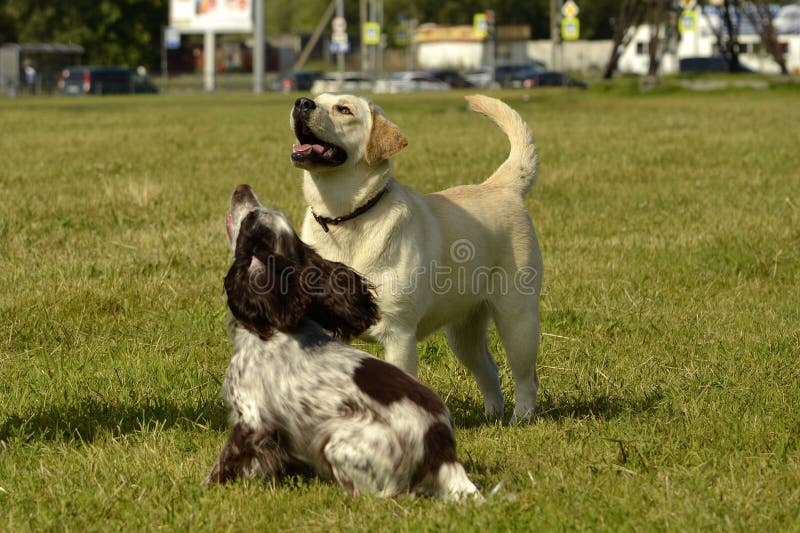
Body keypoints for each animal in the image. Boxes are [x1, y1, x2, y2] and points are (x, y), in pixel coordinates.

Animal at [290, 93, 540, 422]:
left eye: (343, 109)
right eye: (318, 99)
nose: (302, 102)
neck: (344, 219)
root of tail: (500, 186)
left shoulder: (399, 335)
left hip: (517, 320)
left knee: (526, 378)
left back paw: (521, 417)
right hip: (463, 333)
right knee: (489, 369)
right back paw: (492, 416)